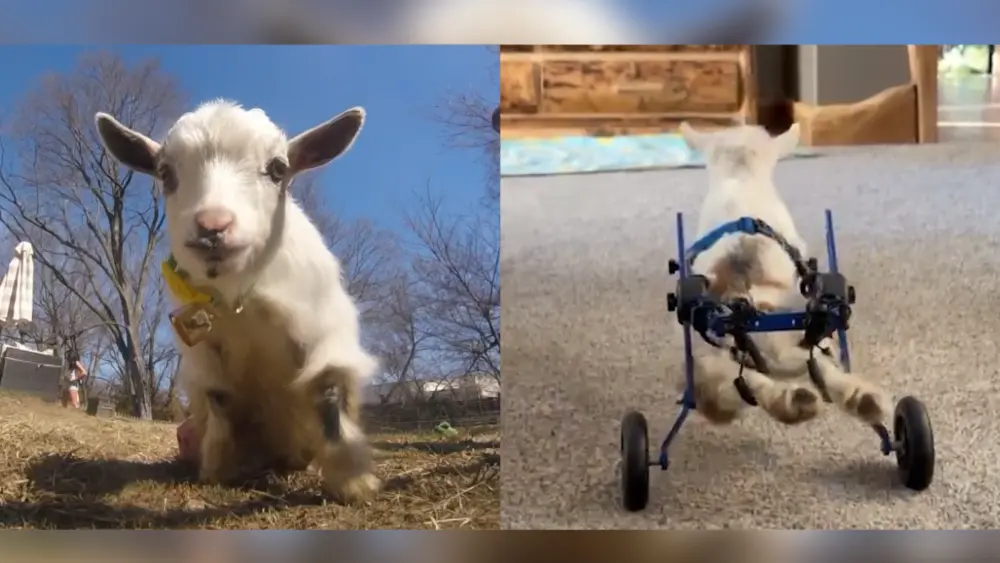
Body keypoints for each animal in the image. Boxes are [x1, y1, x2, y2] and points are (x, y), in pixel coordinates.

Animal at [95, 99, 380, 503]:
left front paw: (353, 481)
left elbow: (328, 392)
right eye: (165, 173)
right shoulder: (204, 351)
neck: (242, 298)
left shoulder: (324, 330)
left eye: (278, 169)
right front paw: (218, 469)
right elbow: (220, 398)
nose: (212, 227)